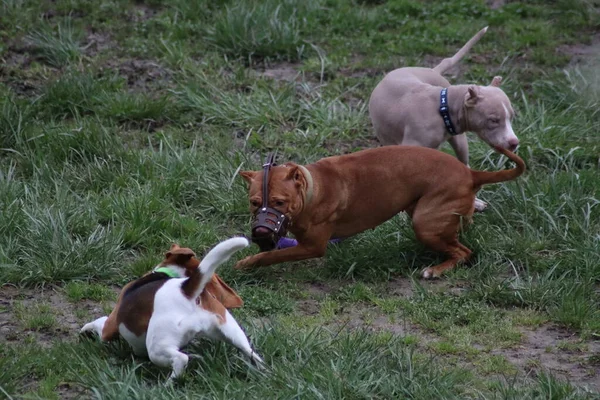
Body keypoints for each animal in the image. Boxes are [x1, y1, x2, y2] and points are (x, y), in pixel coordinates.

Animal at [237, 146, 524, 278]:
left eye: (279, 202)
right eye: (254, 202)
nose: (261, 230)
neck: (312, 188)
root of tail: (470, 173)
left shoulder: (313, 247)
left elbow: (272, 256)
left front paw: (247, 262)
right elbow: (274, 250)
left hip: (424, 224)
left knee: (464, 252)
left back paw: (436, 269)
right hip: (421, 211)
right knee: (460, 234)